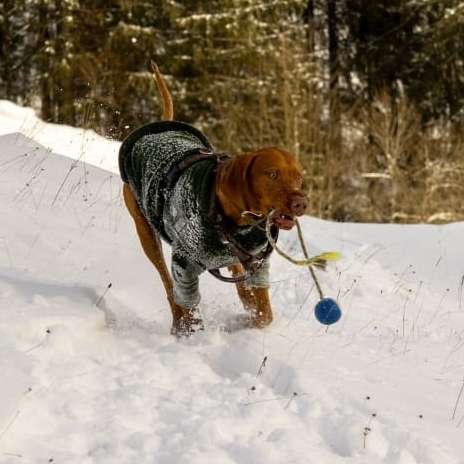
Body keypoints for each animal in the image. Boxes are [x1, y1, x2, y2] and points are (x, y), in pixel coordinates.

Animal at [121, 64, 306, 334]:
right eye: (272, 174)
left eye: (299, 177)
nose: (301, 202)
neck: (232, 222)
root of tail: (160, 125)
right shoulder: (184, 267)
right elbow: (188, 307)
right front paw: (189, 333)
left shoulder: (258, 264)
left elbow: (264, 314)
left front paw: (249, 320)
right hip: (146, 234)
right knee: (168, 285)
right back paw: (177, 320)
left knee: (238, 279)